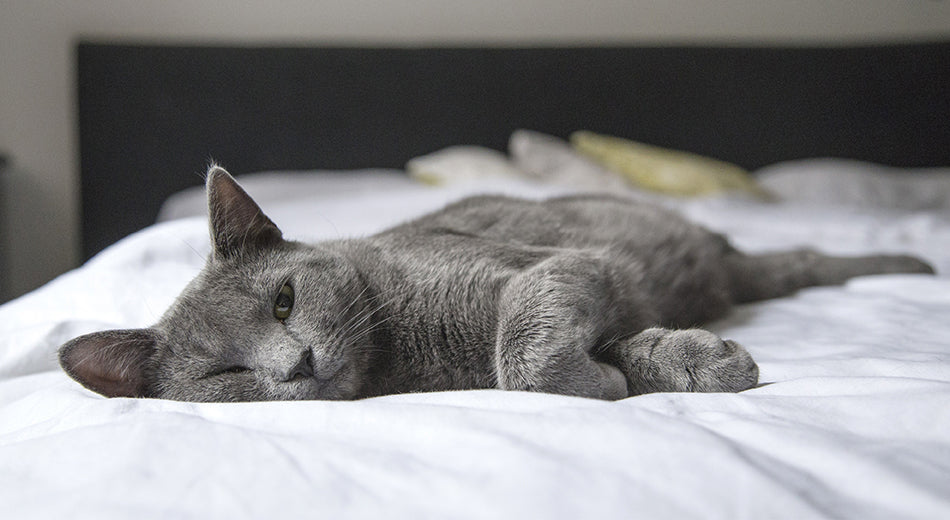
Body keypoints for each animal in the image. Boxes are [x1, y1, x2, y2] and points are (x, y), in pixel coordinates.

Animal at [57, 167, 936, 402]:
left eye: (283, 301)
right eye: (225, 373)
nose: (296, 364)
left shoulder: (547, 267)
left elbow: (523, 351)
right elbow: (557, 359)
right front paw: (665, 365)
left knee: (805, 259)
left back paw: (916, 267)